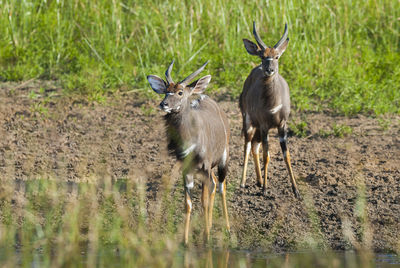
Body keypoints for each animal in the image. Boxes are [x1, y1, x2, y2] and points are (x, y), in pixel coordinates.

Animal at [147, 59, 230, 244]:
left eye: (179, 92)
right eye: (166, 91)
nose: (163, 104)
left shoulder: (204, 167)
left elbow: (204, 201)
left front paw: (206, 237)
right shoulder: (187, 169)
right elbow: (188, 204)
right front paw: (185, 240)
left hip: (223, 159)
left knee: (220, 186)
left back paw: (227, 228)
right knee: (213, 185)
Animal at [241, 22, 300, 198]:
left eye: (277, 56)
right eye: (262, 56)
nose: (269, 70)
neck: (272, 105)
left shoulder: (282, 125)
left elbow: (286, 155)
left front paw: (296, 190)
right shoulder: (265, 125)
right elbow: (266, 156)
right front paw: (266, 189)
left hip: (258, 128)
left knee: (255, 146)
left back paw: (259, 181)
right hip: (248, 121)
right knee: (247, 145)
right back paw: (243, 183)